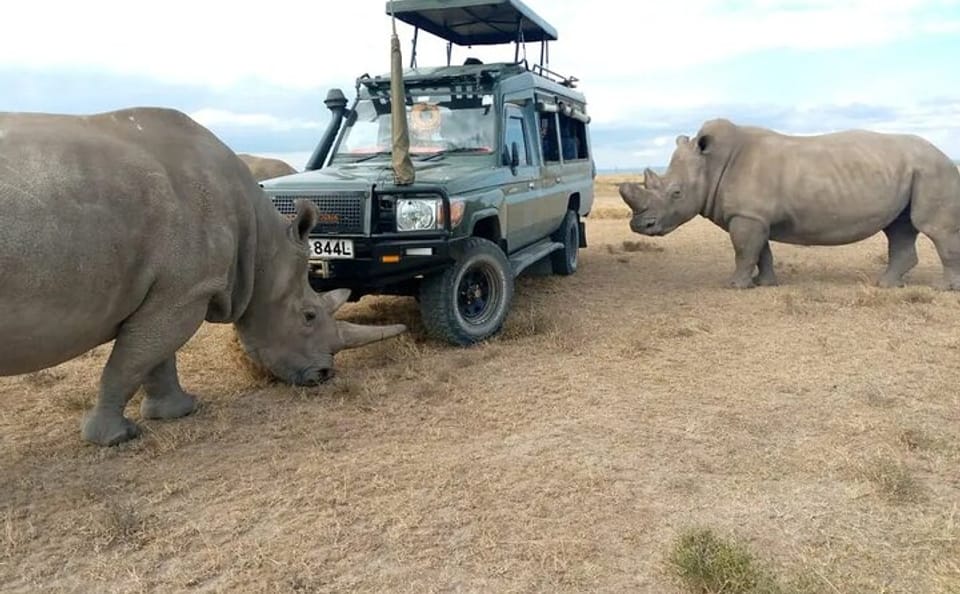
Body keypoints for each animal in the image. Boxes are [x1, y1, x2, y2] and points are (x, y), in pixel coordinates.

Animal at [0, 107, 406, 446]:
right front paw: (115, 438)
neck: (259, 245)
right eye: (308, 315)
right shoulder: (184, 291)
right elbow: (132, 361)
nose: (323, 374)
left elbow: (153, 356)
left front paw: (177, 411)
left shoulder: (173, 291)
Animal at [620, 118, 960, 289]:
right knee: (899, 228)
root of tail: (944, 153)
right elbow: (761, 252)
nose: (640, 225)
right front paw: (765, 283)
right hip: (914, 171)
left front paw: (735, 285)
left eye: (676, 193)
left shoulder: (747, 216)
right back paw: (885, 285)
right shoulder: (754, 216)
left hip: (934, 169)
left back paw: (942, 289)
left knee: (933, 228)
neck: (712, 164)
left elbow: (744, 251)